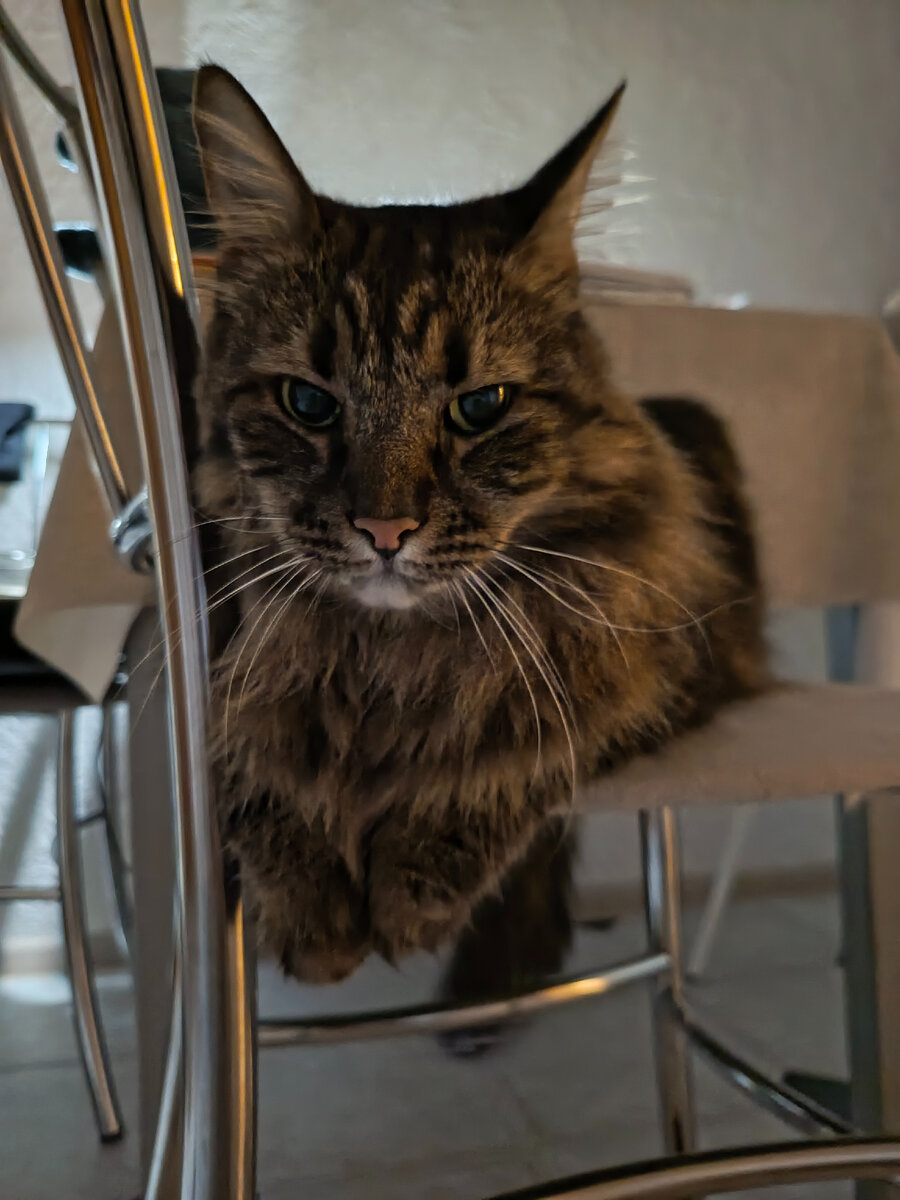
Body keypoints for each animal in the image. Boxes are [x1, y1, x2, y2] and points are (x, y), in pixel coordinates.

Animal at [190, 65, 768, 993]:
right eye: (307, 403)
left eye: (481, 406)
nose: (384, 529)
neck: (385, 664)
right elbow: (248, 750)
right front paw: (308, 902)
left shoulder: (666, 665)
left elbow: (523, 739)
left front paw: (410, 889)